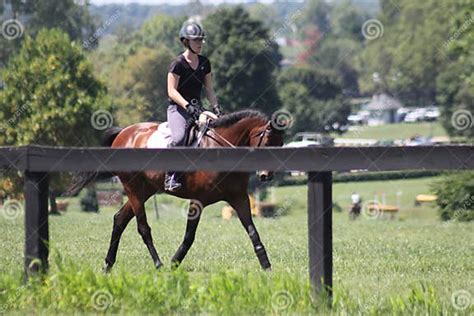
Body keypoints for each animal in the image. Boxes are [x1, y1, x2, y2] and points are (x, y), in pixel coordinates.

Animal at [68, 110, 284, 272]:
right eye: (268, 141)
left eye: (280, 145)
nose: (266, 175)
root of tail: (124, 133)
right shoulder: (198, 200)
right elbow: (189, 236)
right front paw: (174, 262)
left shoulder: (238, 197)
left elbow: (252, 230)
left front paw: (266, 265)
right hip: (133, 189)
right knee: (143, 228)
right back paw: (158, 264)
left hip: (144, 190)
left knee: (119, 219)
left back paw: (108, 264)